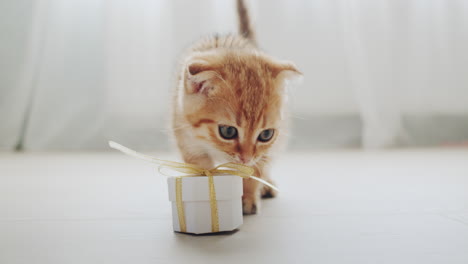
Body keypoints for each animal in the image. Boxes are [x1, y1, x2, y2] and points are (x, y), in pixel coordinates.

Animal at [172, 0, 300, 214]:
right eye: (227, 131)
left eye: (266, 135)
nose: (246, 158)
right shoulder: (188, 142)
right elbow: (202, 170)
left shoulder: (265, 150)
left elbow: (255, 171)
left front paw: (248, 197)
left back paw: (267, 185)